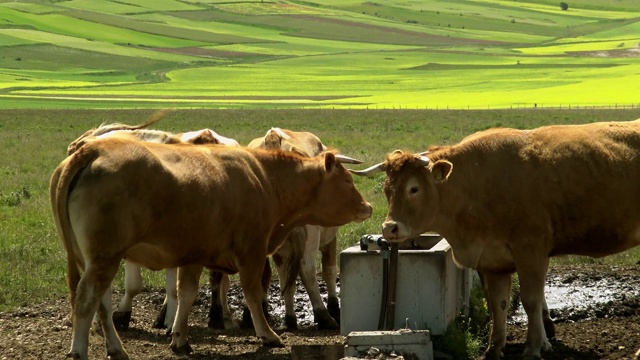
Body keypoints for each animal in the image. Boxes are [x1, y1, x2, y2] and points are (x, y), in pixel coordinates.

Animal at [352, 119, 640, 358]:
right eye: (387, 190)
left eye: (414, 188)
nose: (390, 228)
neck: (476, 184)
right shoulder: (492, 260)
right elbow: (498, 303)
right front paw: (494, 348)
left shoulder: (531, 251)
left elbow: (531, 300)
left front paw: (533, 348)